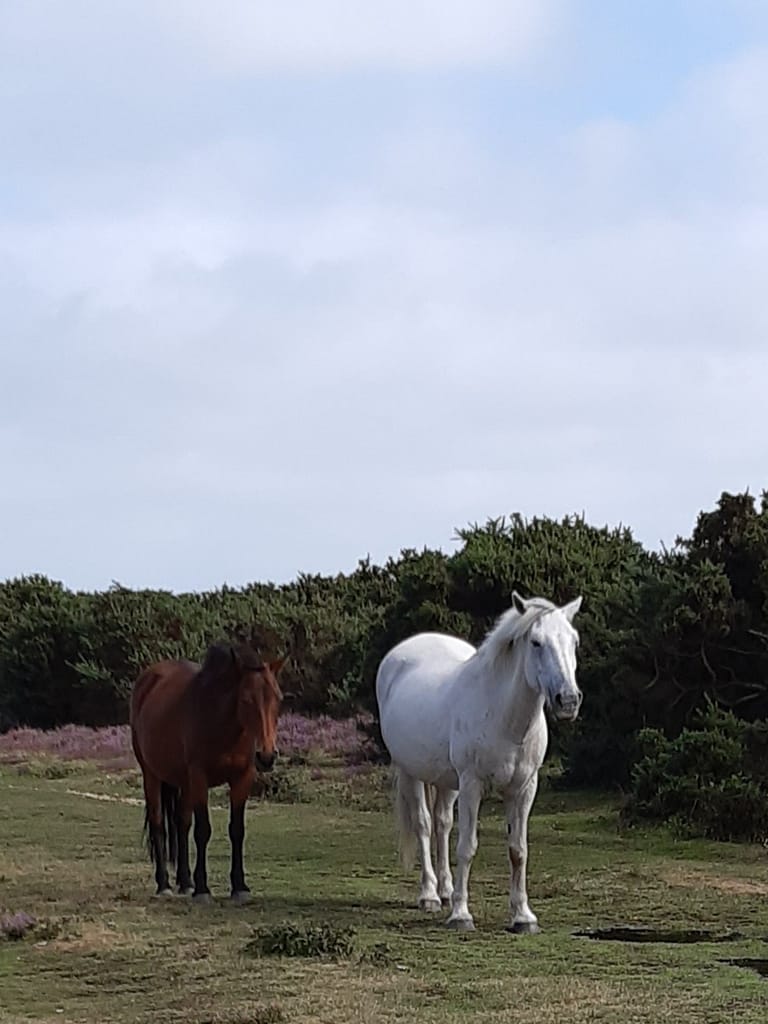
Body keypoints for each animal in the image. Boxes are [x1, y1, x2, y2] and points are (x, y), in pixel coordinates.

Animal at [130, 642, 286, 902]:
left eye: (279, 699)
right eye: (246, 699)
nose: (266, 756)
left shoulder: (242, 778)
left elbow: (236, 830)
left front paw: (239, 887)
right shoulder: (199, 777)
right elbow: (203, 830)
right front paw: (203, 889)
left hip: (183, 782)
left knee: (181, 824)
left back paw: (185, 883)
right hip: (152, 775)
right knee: (158, 824)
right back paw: (164, 885)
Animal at [375, 591, 583, 933]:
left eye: (574, 641)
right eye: (536, 642)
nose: (567, 700)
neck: (503, 717)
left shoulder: (524, 789)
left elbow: (518, 850)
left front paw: (523, 917)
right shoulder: (472, 785)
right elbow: (467, 847)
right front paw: (461, 915)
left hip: (447, 781)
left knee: (443, 823)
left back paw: (446, 890)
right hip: (411, 773)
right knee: (423, 824)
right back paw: (430, 895)